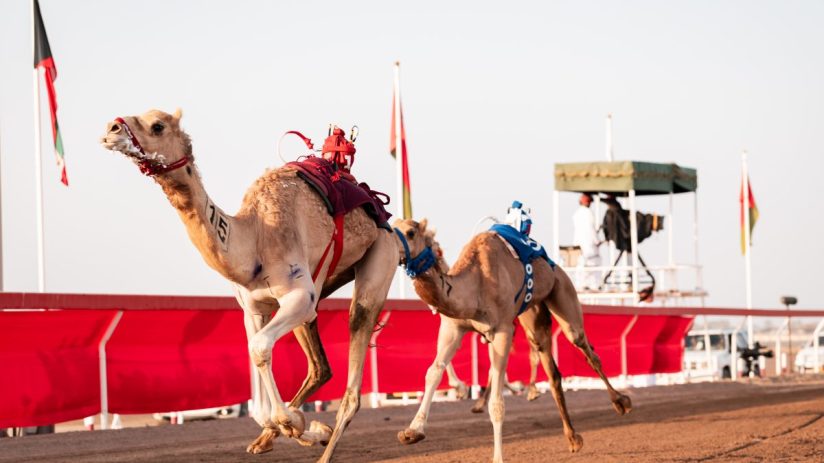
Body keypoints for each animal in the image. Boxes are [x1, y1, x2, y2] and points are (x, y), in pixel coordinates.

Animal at [100, 109, 399, 462]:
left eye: (157, 125)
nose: (111, 129)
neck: (254, 236)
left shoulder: (298, 295)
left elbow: (258, 348)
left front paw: (297, 423)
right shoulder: (253, 308)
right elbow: (256, 360)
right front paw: (297, 427)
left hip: (378, 258)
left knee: (355, 348)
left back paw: (324, 449)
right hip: (321, 286)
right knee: (320, 367)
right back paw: (281, 436)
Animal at [392, 218, 632, 463]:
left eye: (410, 233)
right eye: (392, 225)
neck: (475, 286)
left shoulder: (503, 331)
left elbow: (497, 402)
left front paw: (497, 457)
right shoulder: (453, 328)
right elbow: (433, 372)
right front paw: (412, 432)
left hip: (562, 291)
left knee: (586, 347)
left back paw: (621, 402)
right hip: (533, 314)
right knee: (552, 370)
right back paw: (573, 438)